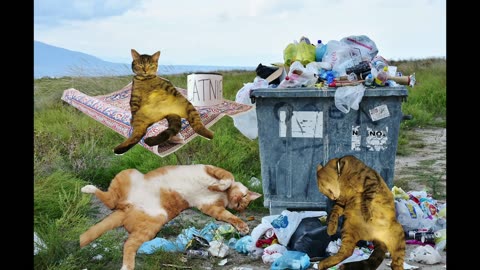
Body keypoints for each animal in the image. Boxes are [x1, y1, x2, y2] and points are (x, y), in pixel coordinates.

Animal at [81, 165, 264, 270]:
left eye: (241, 205)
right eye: (244, 197)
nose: (237, 204)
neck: (225, 197)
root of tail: (126, 207)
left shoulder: (212, 207)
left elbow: (229, 216)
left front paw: (242, 226)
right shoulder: (211, 168)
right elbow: (228, 178)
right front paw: (217, 185)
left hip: (153, 224)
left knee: (128, 244)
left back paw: (127, 267)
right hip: (130, 173)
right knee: (110, 200)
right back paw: (88, 188)